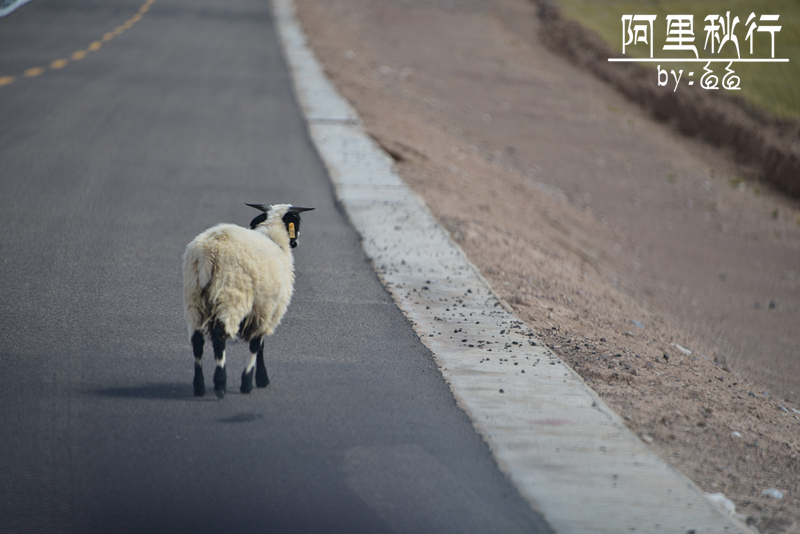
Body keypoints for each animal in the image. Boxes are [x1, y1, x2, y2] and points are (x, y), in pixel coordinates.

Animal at [183, 203, 314, 400]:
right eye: (296, 222)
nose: (296, 242)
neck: (273, 237)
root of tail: (208, 253)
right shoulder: (267, 308)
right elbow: (257, 344)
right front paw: (251, 381)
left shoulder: (260, 307)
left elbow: (260, 344)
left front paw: (258, 378)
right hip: (231, 295)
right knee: (219, 335)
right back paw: (220, 384)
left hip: (194, 297)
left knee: (197, 339)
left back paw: (199, 386)